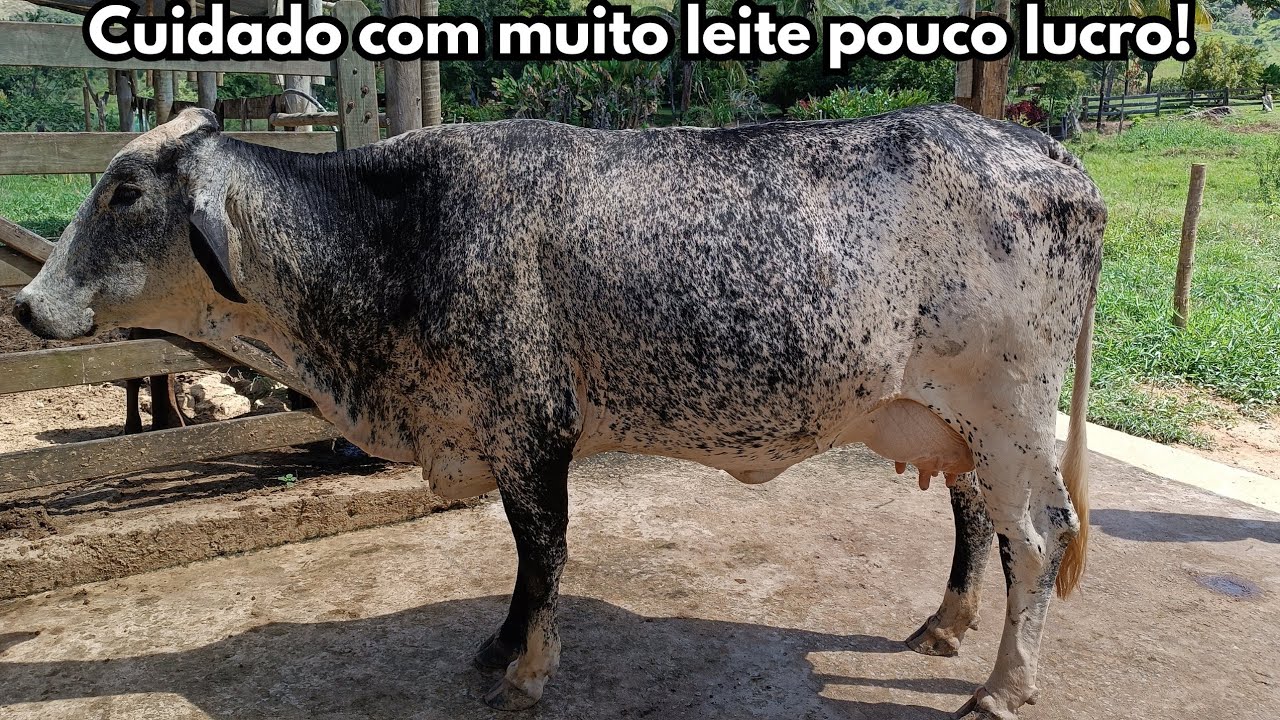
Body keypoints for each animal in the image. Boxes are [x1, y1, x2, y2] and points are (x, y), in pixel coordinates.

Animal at [13, 104, 1105, 718]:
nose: (25, 305)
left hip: (1009, 411)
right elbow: (520, 562)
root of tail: (1046, 149)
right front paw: (498, 647)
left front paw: (525, 673)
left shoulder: (532, 426)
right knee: (978, 521)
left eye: (123, 192)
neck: (393, 232)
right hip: (952, 421)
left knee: (1039, 535)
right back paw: (945, 626)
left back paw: (1002, 689)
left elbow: (541, 556)